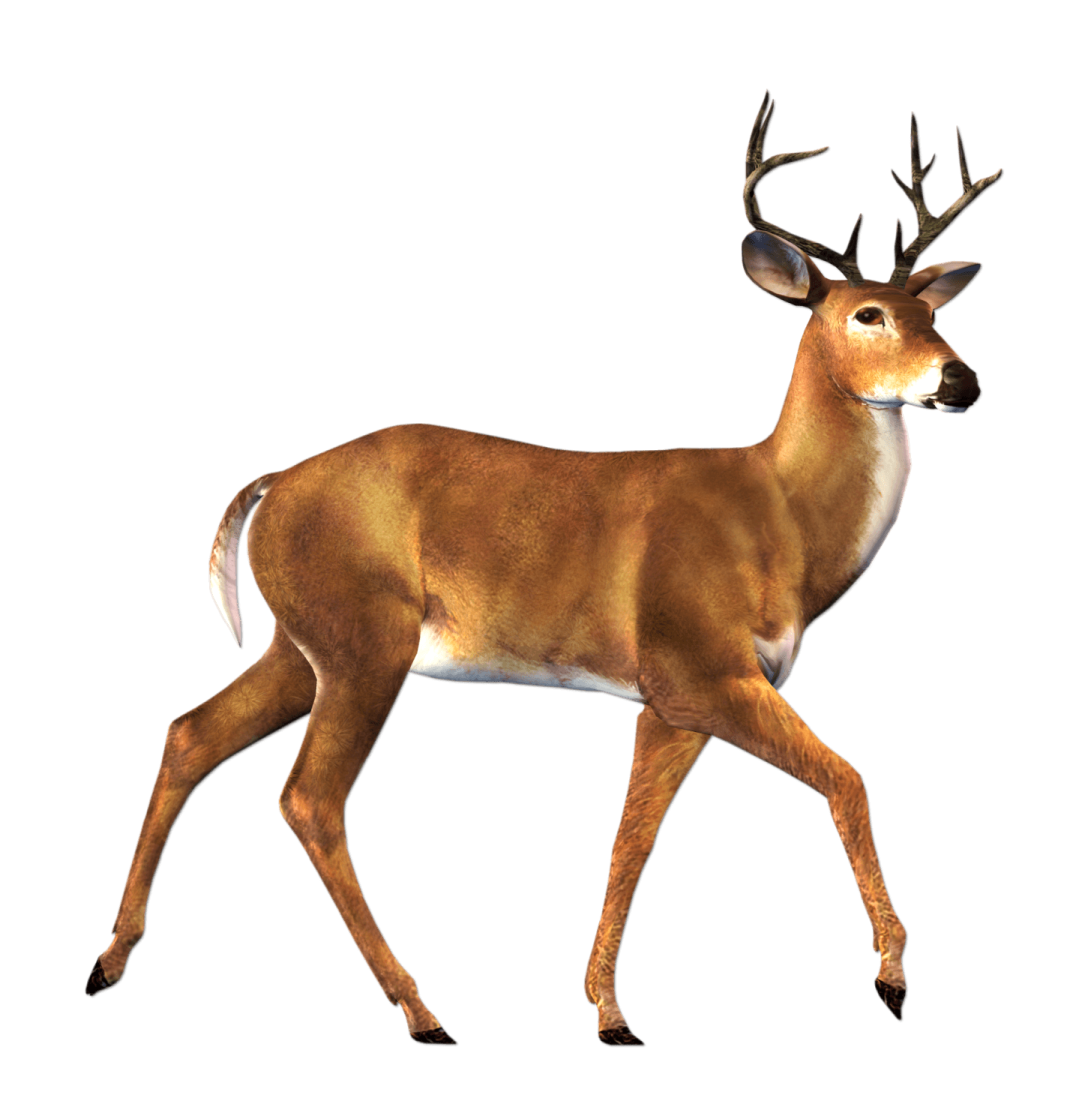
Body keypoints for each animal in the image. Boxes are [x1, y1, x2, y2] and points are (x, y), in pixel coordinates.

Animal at [85, 89, 1003, 1044]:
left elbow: (628, 842)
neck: (777, 515)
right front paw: (892, 977)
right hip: (362, 640)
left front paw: (607, 1010)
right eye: (868, 314)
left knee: (190, 732)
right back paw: (422, 1009)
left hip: (299, 640)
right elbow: (846, 777)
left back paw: (108, 962)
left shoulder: (670, 704)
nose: (961, 382)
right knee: (308, 796)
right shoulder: (698, 665)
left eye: (936, 315)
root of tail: (269, 482)